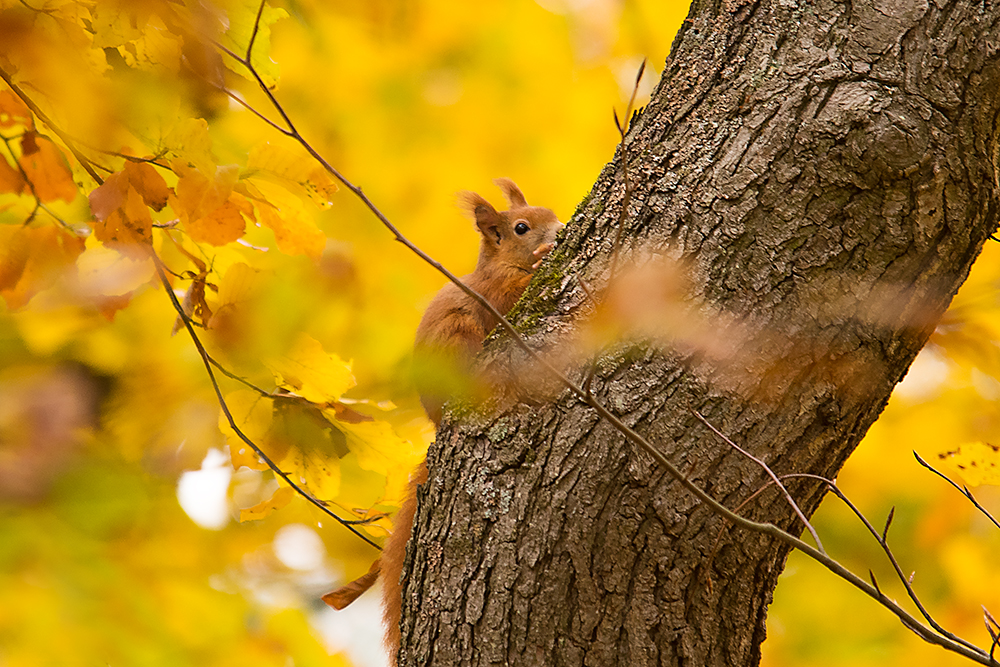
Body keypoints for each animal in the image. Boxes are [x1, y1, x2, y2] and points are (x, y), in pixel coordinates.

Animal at [322, 180, 564, 664]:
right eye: (521, 227)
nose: (559, 227)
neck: (498, 263)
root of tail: (436, 421)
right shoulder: (496, 293)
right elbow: (515, 293)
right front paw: (546, 254)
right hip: (461, 340)